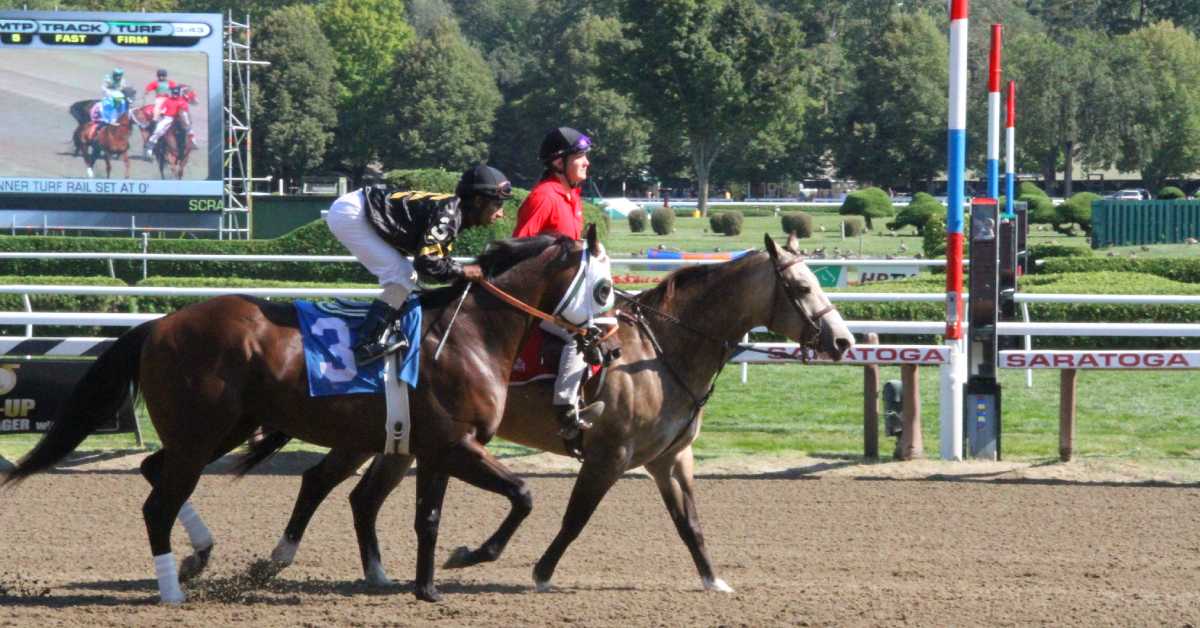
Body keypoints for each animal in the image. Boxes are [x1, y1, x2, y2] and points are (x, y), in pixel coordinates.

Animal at [0, 226, 614, 605]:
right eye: (605, 287)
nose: (605, 348)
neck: (469, 334)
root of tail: (159, 325)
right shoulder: (456, 445)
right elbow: (523, 495)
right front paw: (471, 556)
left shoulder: (437, 448)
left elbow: (429, 519)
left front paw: (427, 588)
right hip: (202, 432)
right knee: (157, 504)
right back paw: (173, 589)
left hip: (223, 429)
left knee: (156, 472)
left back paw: (201, 554)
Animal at [236, 234, 854, 595]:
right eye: (802, 286)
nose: (844, 341)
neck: (659, 353)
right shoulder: (609, 455)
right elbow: (574, 519)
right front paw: (537, 572)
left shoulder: (671, 459)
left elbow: (690, 523)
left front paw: (713, 581)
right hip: (377, 435)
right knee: (321, 481)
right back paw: (286, 557)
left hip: (403, 441)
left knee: (360, 496)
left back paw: (377, 574)